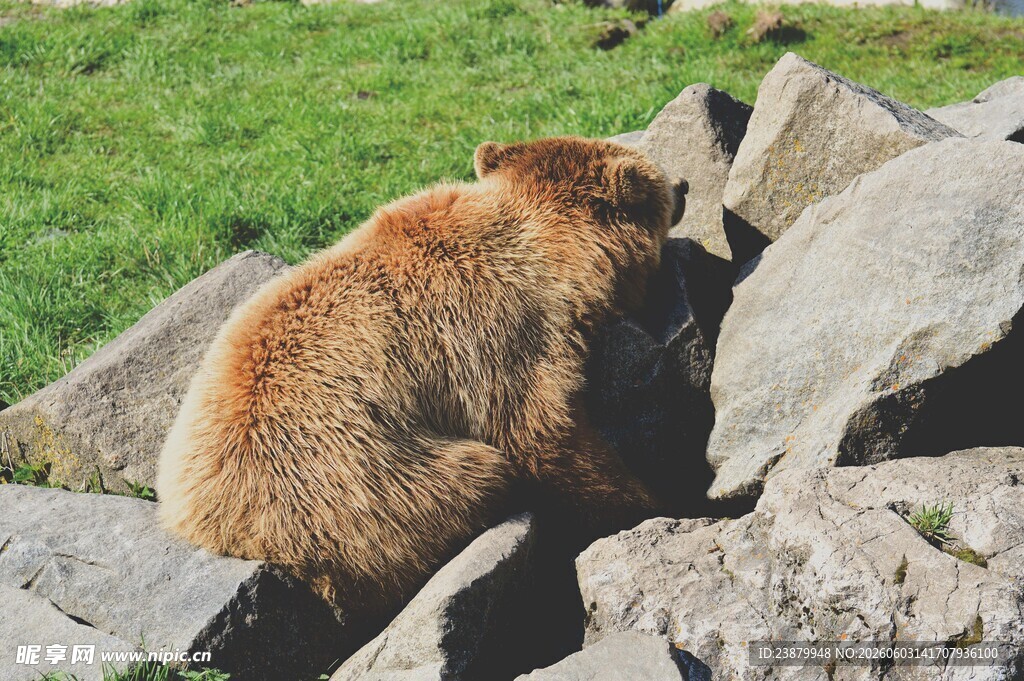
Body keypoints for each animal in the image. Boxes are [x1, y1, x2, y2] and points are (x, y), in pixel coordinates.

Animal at [156, 136, 676, 617]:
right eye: (663, 185)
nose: (685, 185)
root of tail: (229, 534)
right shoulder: (495, 327)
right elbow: (542, 433)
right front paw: (643, 502)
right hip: (369, 488)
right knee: (475, 477)